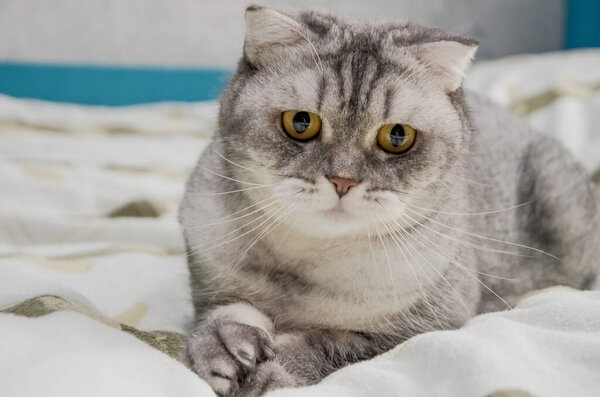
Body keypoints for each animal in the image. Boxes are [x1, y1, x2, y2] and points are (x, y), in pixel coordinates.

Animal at [179, 4, 600, 394]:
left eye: (397, 136)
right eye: (300, 123)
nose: (342, 181)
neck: (306, 273)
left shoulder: (422, 328)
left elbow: (328, 346)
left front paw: (272, 370)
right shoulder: (211, 286)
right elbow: (226, 311)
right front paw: (222, 344)